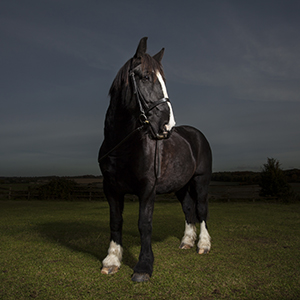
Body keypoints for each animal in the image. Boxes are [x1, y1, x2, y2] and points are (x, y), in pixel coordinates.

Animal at [98, 37, 211, 282]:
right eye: (145, 77)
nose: (167, 126)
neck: (123, 148)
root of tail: (196, 134)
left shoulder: (147, 189)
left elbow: (145, 224)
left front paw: (144, 266)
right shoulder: (111, 189)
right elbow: (115, 221)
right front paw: (112, 260)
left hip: (201, 180)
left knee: (201, 209)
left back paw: (203, 244)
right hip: (181, 186)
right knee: (188, 209)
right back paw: (187, 241)